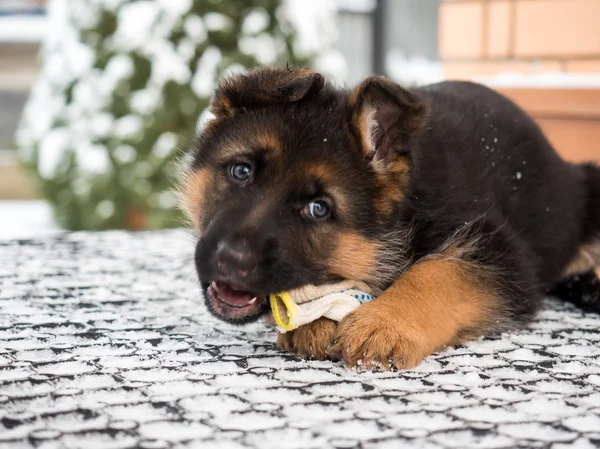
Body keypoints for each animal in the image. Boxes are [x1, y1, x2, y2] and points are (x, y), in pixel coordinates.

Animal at [179, 66, 600, 368]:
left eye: (318, 209)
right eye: (241, 171)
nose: (231, 260)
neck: (406, 209)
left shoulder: (500, 251)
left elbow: (440, 272)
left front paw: (385, 322)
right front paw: (318, 316)